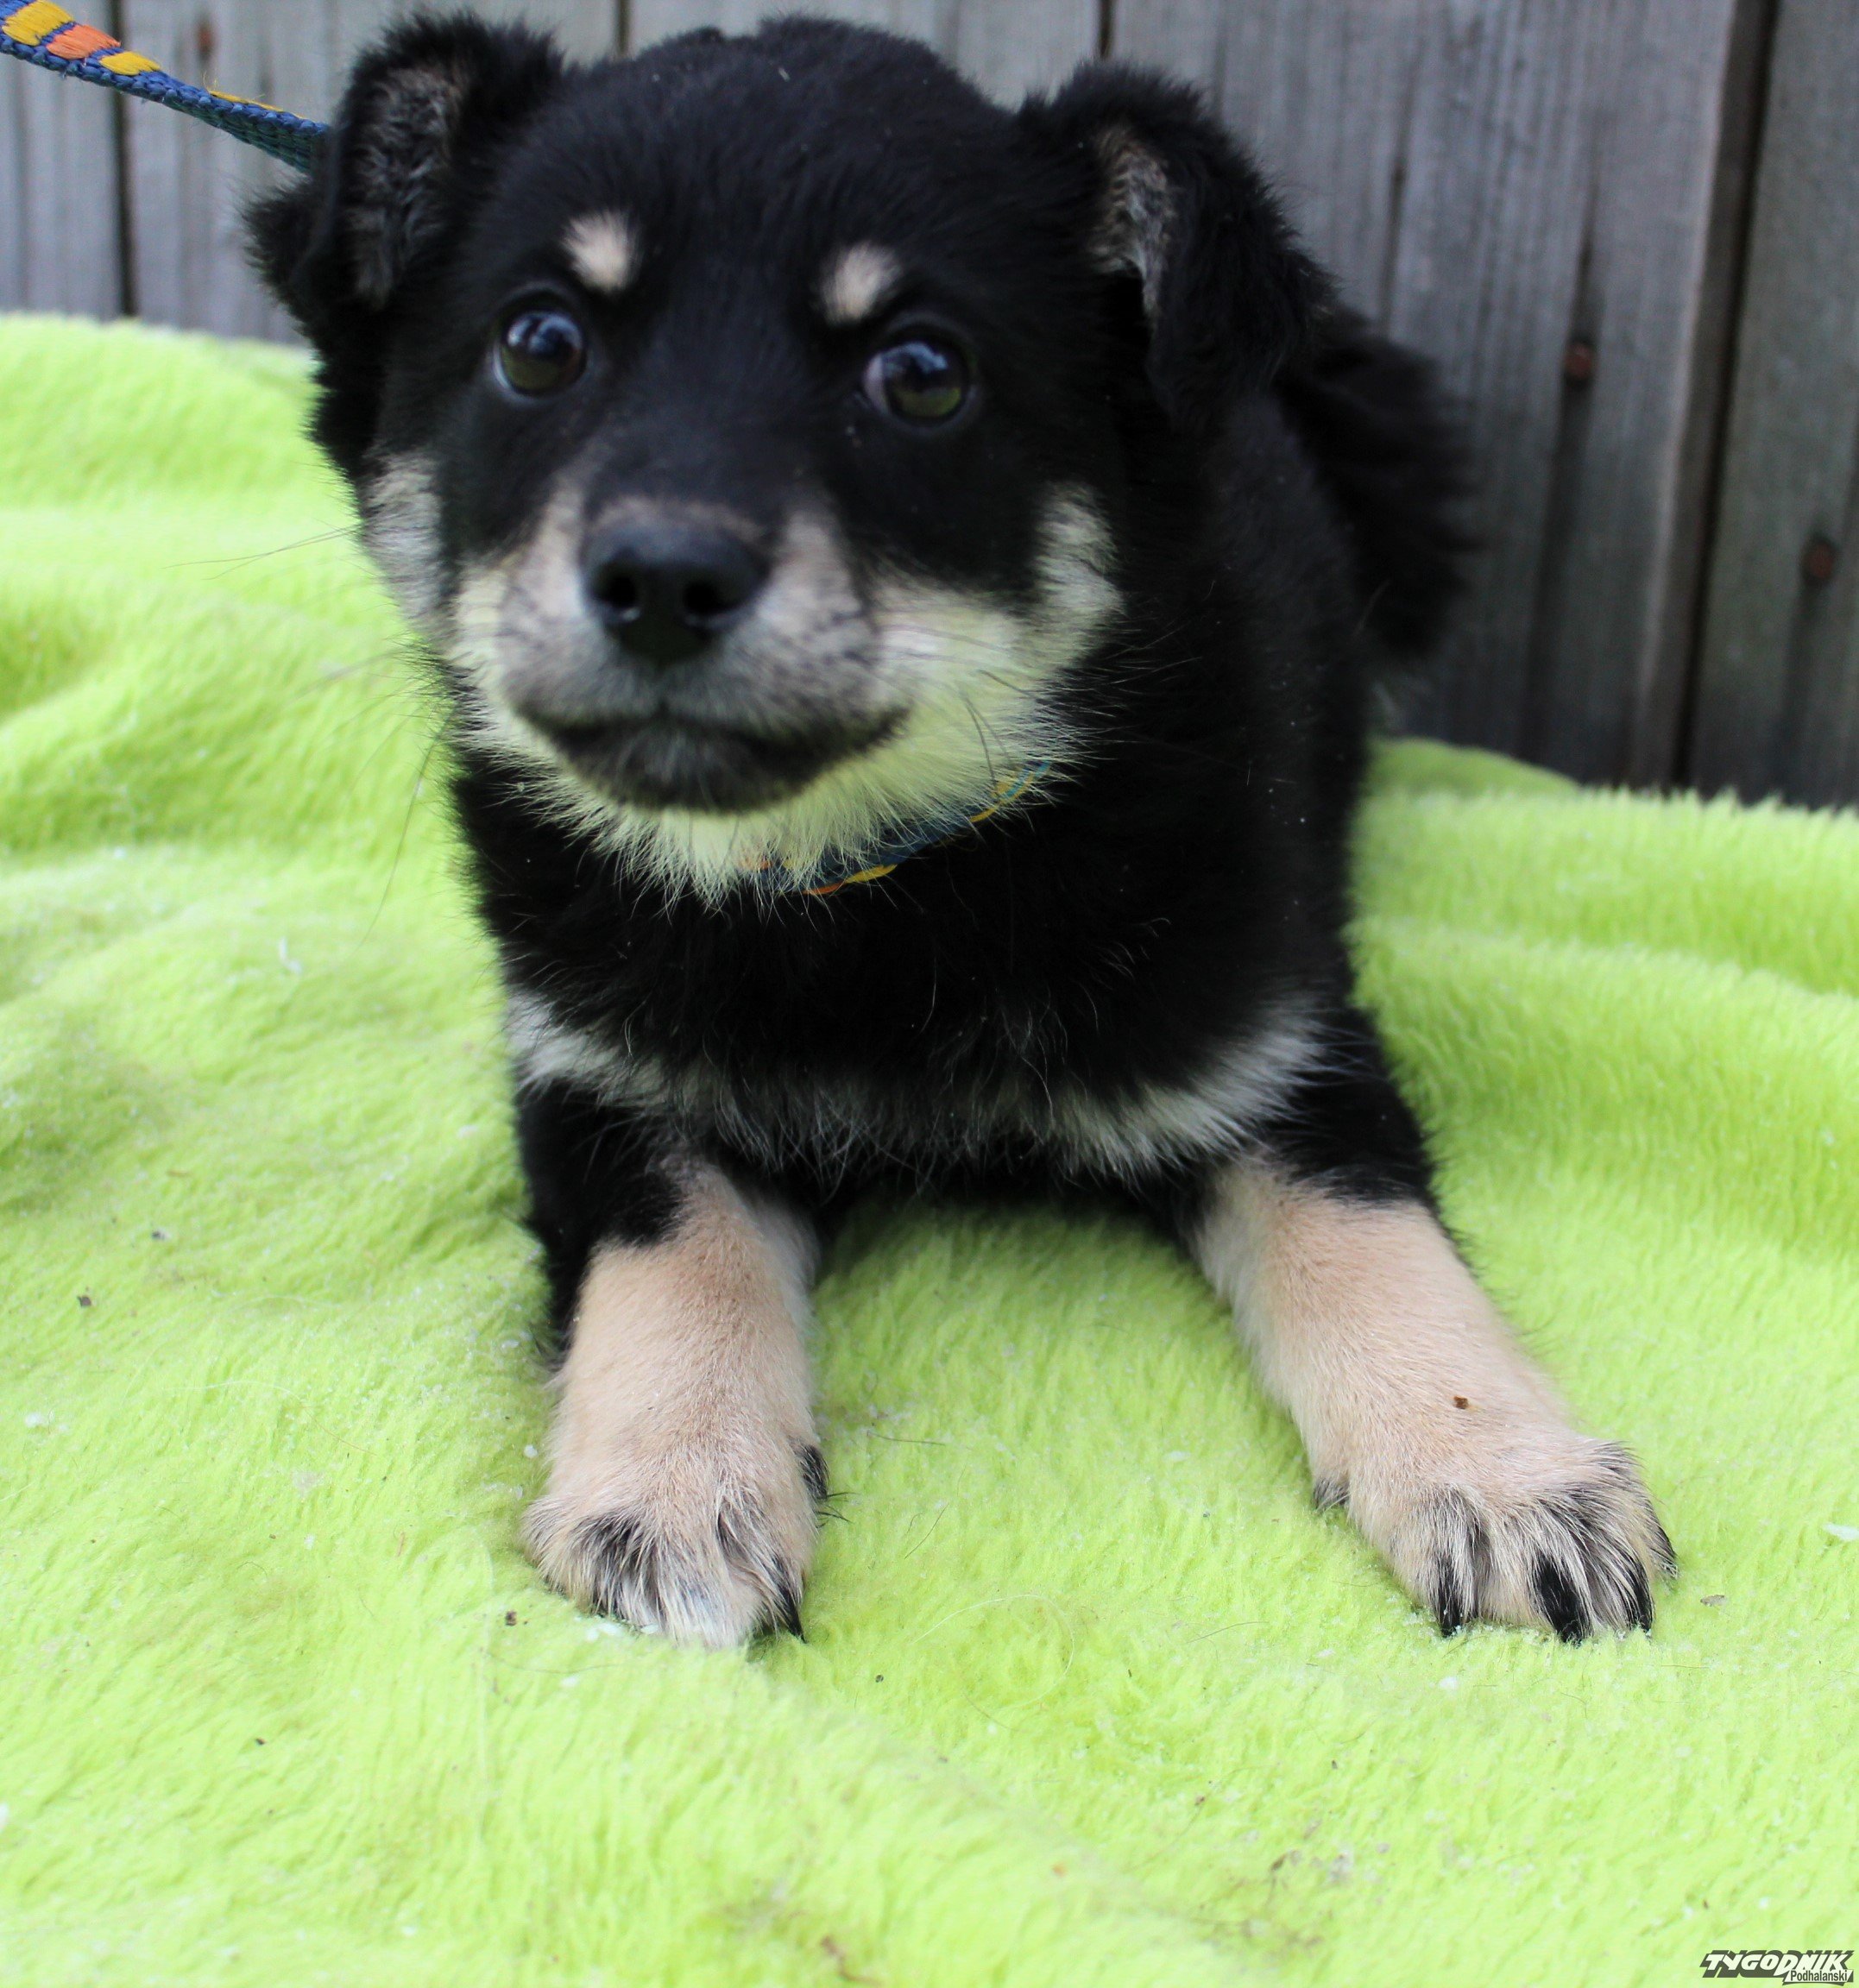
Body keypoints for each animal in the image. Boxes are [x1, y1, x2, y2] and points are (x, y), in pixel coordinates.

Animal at [251, 11, 1673, 1649]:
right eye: (538, 343)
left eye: (920, 374)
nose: (663, 578)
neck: (871, 879)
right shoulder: (595, 1077)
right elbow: (673, 1258)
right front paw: (671, 1489)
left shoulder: (1278, 1045)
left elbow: (1368, 1239)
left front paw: (1508, 1477)